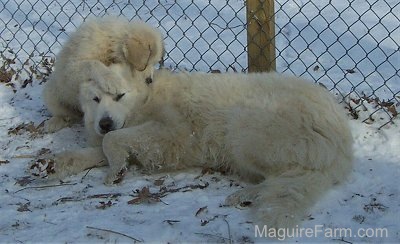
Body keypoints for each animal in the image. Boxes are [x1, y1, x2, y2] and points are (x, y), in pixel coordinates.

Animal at [50, 63, 354, 229]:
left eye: (119, 95)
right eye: (95, 99)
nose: (104, 123)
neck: (147, 98)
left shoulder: (172, 135)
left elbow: (112, 142)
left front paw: (114, 170)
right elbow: (100, 148)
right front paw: (58, 163)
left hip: (242, 130)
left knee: (286, 177)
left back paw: (245, 195)